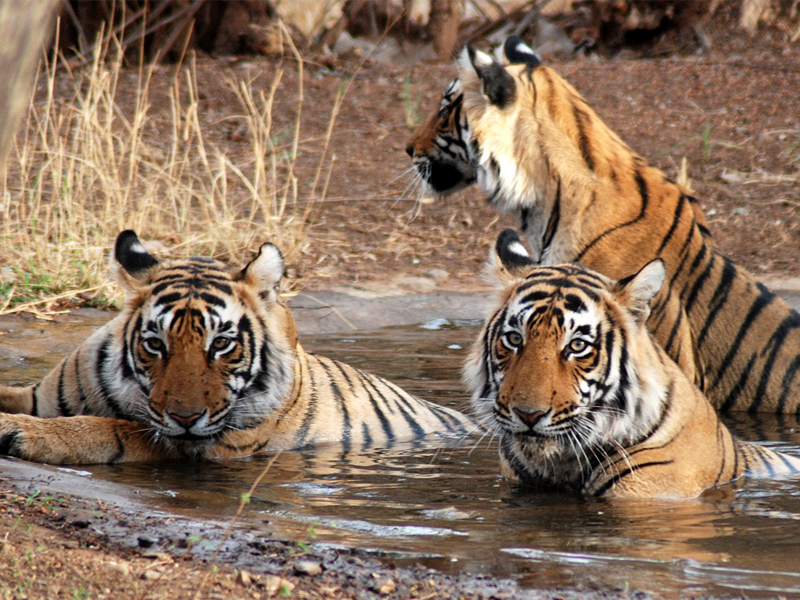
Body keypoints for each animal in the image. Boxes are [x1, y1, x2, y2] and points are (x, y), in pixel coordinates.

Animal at [0, 230, 476, 464]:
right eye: (155, 344)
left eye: (222, 344)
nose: (186, 417)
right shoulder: (39, 395)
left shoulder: (200, 443)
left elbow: (112, 428)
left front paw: (21, 432)